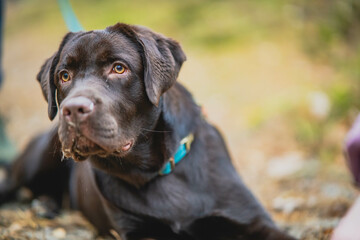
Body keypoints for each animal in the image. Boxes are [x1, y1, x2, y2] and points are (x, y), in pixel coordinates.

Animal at [0, 23, 296, 240]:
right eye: (64, 75)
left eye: (119, 68)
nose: (72, 109)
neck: (156, 169)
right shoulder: (137, 232)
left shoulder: (253, 220)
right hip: (36, 160)